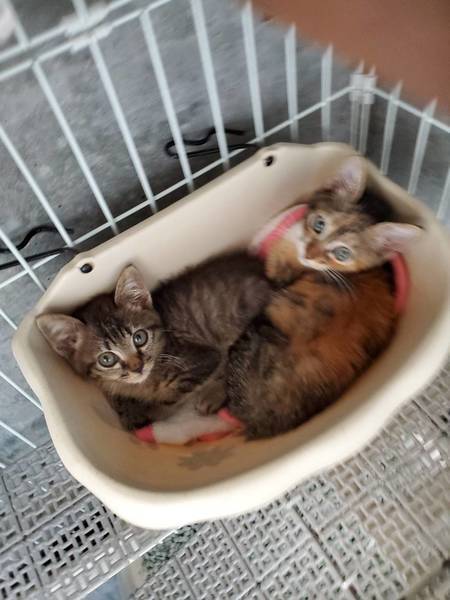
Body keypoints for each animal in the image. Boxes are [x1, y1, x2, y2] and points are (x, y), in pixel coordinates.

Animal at [37, 252, 272, 432]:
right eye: (107, 359)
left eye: (139, 338)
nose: (137, 367)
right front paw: (129, 411)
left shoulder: (204, 358)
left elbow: (171, 397)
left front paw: (151, 413)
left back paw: (212, 396)